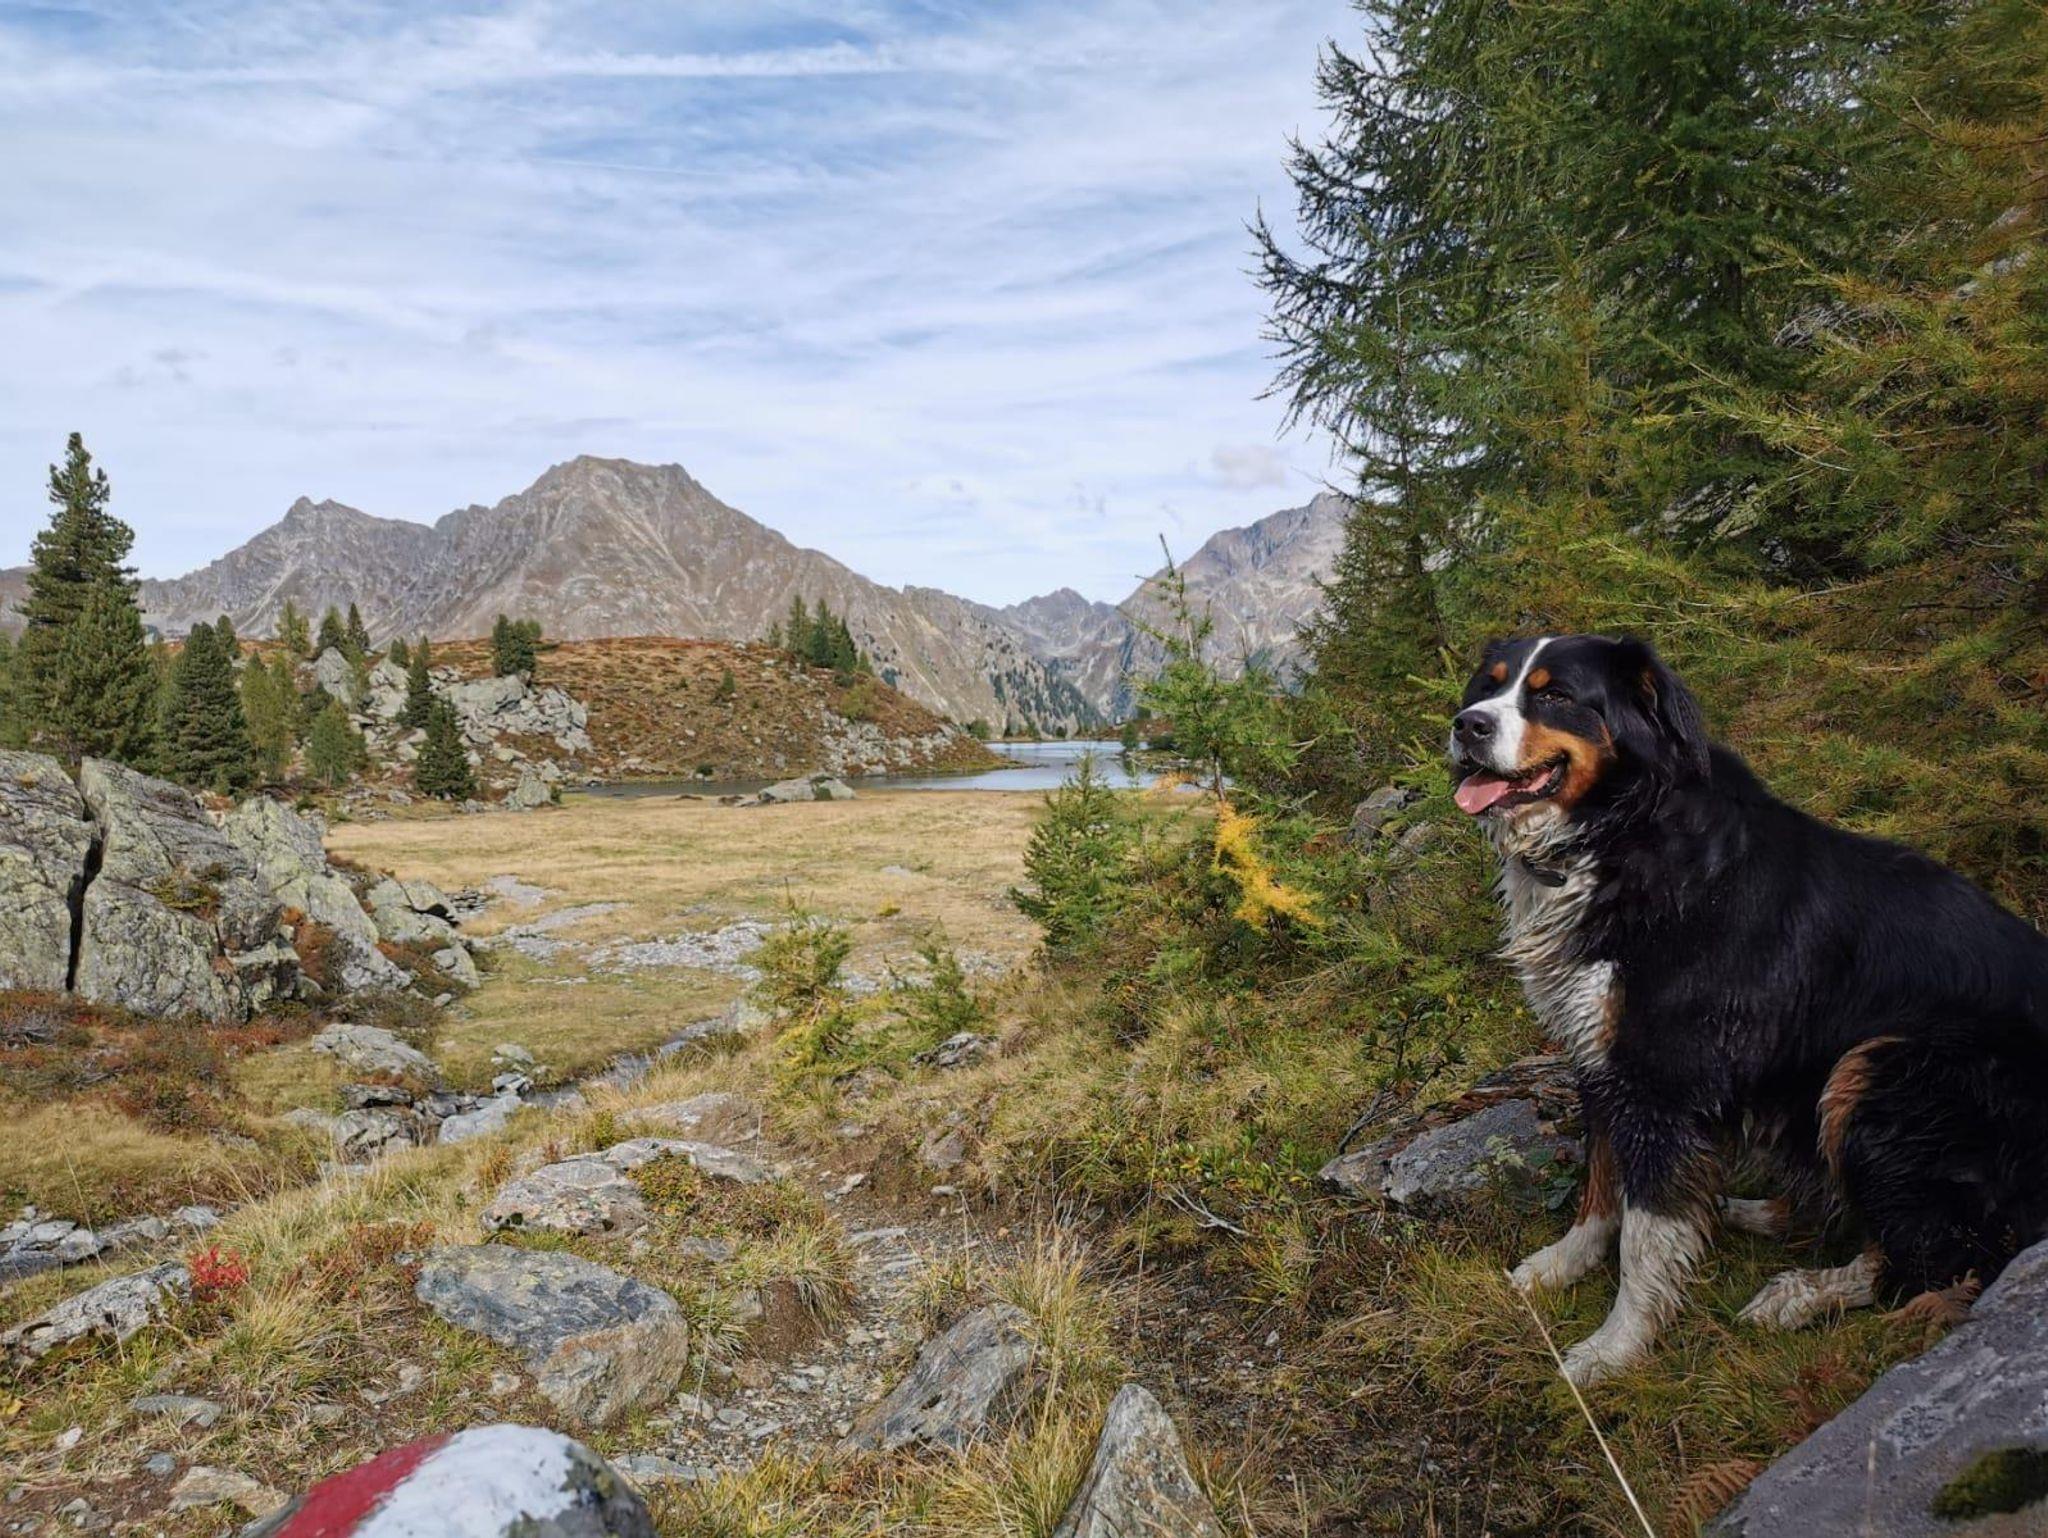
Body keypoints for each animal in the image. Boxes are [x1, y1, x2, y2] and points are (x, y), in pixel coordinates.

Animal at [1449, 633, 2048, 1386]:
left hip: (1880, 1067)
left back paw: (1805, 1298)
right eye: (1488, 684)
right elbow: (1602, 1180)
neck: (1621, 833)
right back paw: (1755, 1213)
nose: (1465, 725)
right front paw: (1565, 1261)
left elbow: (1645, 1232)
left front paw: (1616, 1347)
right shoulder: (1602, 1056)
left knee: (1949, 1254)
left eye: (1554, 695)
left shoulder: (1661, 1077)